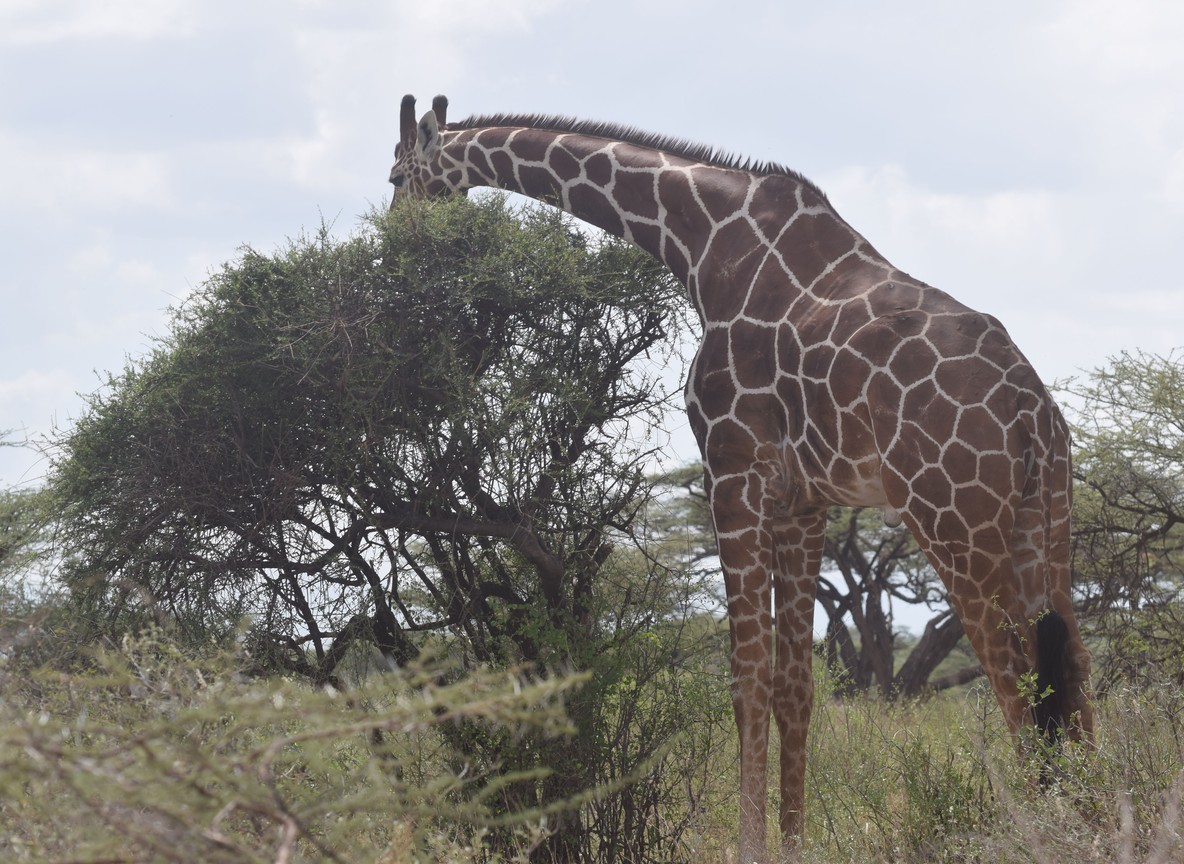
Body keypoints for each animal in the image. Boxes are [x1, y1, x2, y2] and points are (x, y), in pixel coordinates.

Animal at [388, 94, 1095, 861]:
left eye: (396, 175)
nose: (391, 246)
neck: (701, 245)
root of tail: (1031, 407)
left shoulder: (730, 472)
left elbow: (746, 680)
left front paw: (751, 844)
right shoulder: (803, 502)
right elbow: (795, 685)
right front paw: (794, 842)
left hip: (953, 520)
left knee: (1020, 677)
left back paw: (1041, 832)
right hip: (1043, 521)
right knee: (1074, 667)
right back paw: (1090, 816)